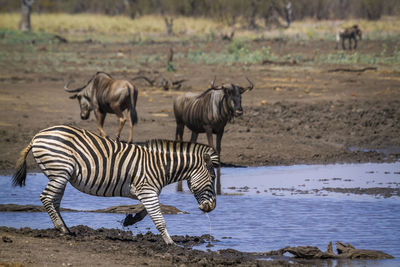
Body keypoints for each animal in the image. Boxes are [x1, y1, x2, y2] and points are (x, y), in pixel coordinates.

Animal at [12, 125, 219, 245]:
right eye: (212, 177)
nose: (212, 208)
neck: (160, 166)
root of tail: (37, 135)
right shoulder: (147, 190)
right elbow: (159, 218)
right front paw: (171, 243)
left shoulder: (145, 191)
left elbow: (145, 211)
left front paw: (130, 220)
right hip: (60, 171)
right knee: (46, 198)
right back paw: (61, 228)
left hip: (59, 175)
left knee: (54, 200)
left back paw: (66, 229)